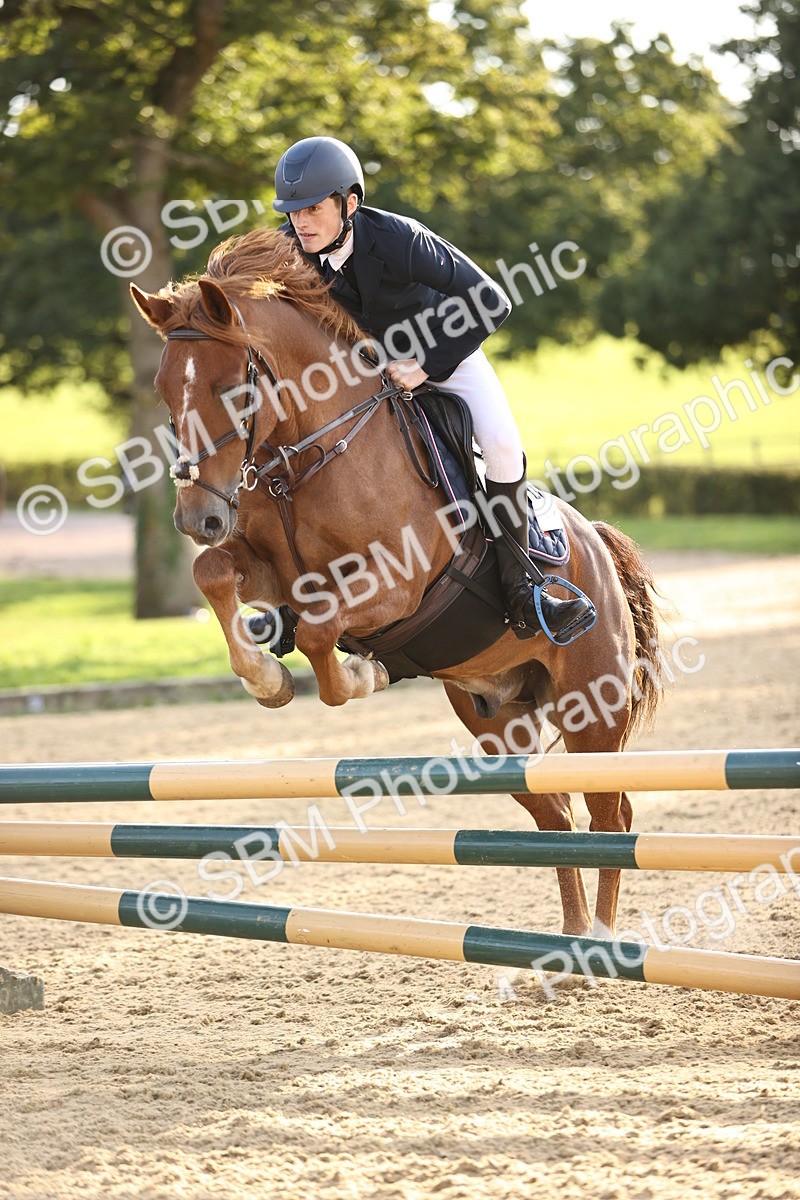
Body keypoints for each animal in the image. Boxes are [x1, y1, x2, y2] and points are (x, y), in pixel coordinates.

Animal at [130, 227, 664, 939]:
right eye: (165, 393)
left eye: (231, 391)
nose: (198, 518)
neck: (312, 449)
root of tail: (597, 543)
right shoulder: (268, 570)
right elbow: (213, 572)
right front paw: (269, 677)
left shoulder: (398, 585)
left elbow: (322, 631)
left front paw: (360, 673)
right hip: (497, 721)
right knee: (556, 817)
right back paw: (574, 940)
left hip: (593, 708)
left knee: (611, 815)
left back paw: (599, 942)